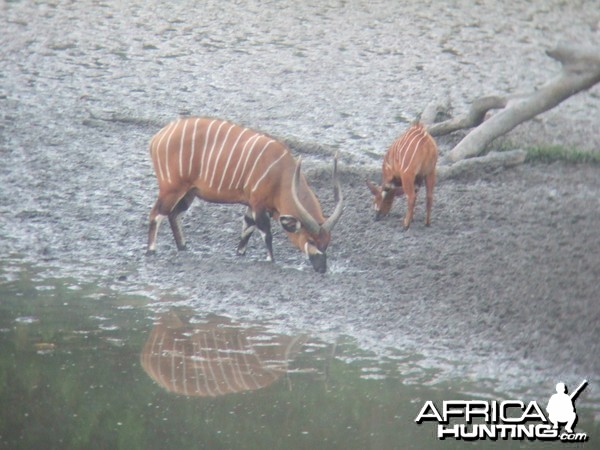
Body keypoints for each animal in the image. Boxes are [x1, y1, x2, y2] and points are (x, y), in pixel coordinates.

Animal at [146, 116, 342, 272]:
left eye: (327, 242)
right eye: (311, 240)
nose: (322, 269)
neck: (282, 173)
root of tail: (158, 137)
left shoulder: (251, 205)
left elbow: (247, 228)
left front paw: (239, 253)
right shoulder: (258, 204)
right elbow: (265, 232)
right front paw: (271, 260)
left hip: (189, 192)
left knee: (173, 214)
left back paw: (183, 247)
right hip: (172, 188)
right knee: (157, 213)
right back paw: (151, 250)